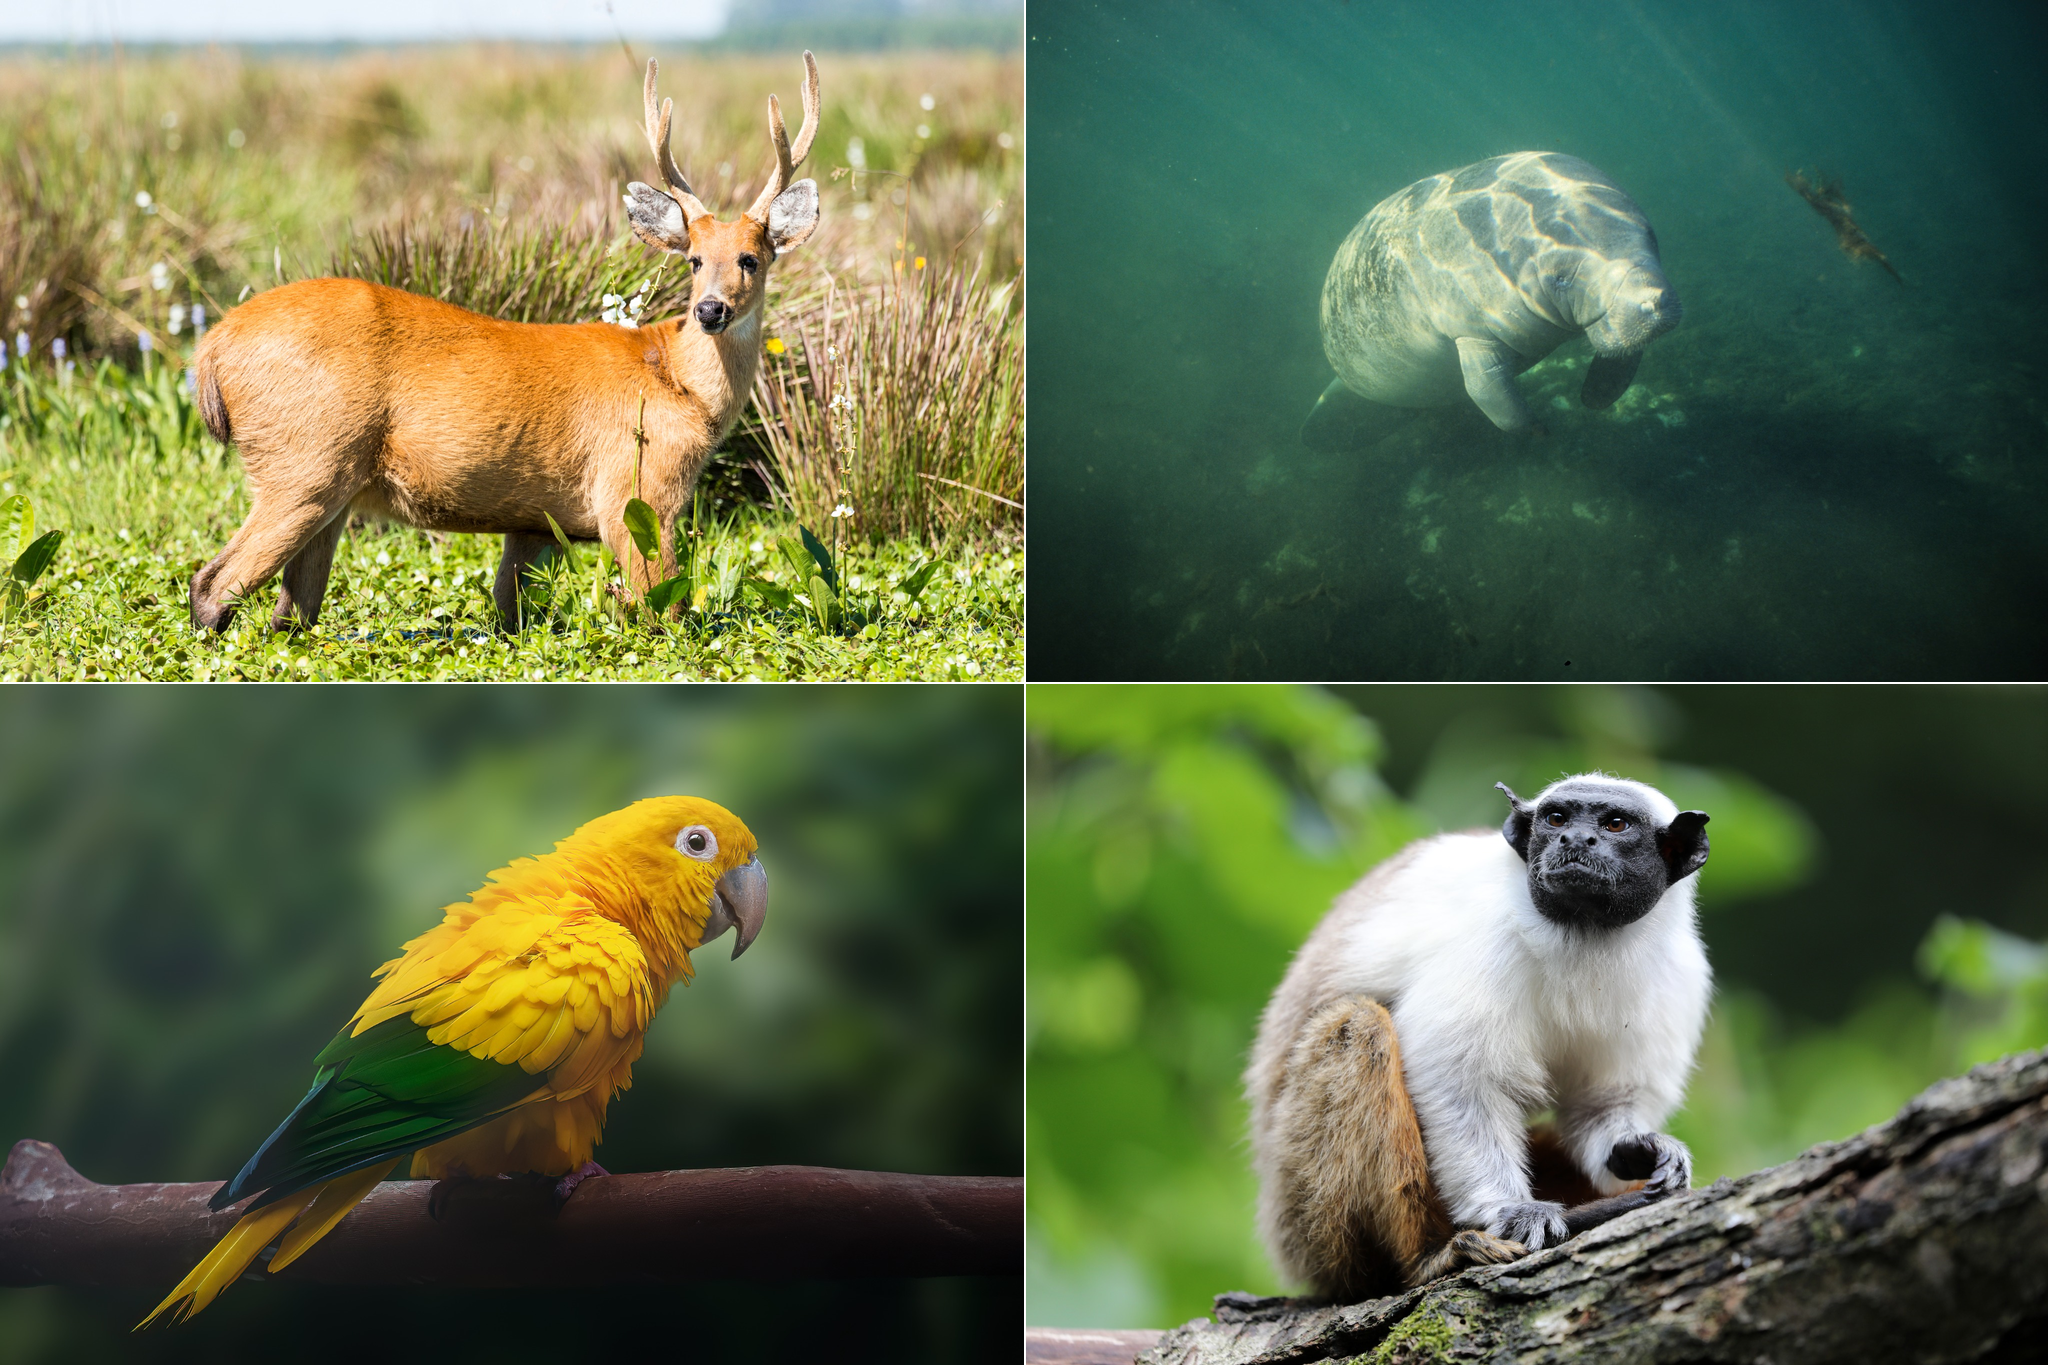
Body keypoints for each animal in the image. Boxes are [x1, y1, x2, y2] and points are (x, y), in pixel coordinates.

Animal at [186, 52, 823, 630]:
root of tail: (212, 347)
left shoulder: (534, 523)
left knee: (291, 612)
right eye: (693, 260)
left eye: (751, 258)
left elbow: (507, 611)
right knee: (213, 585)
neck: (677, 382)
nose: (710, 309)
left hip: (331, 487)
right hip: (304, 462)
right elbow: (661, 611)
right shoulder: (637, 491)